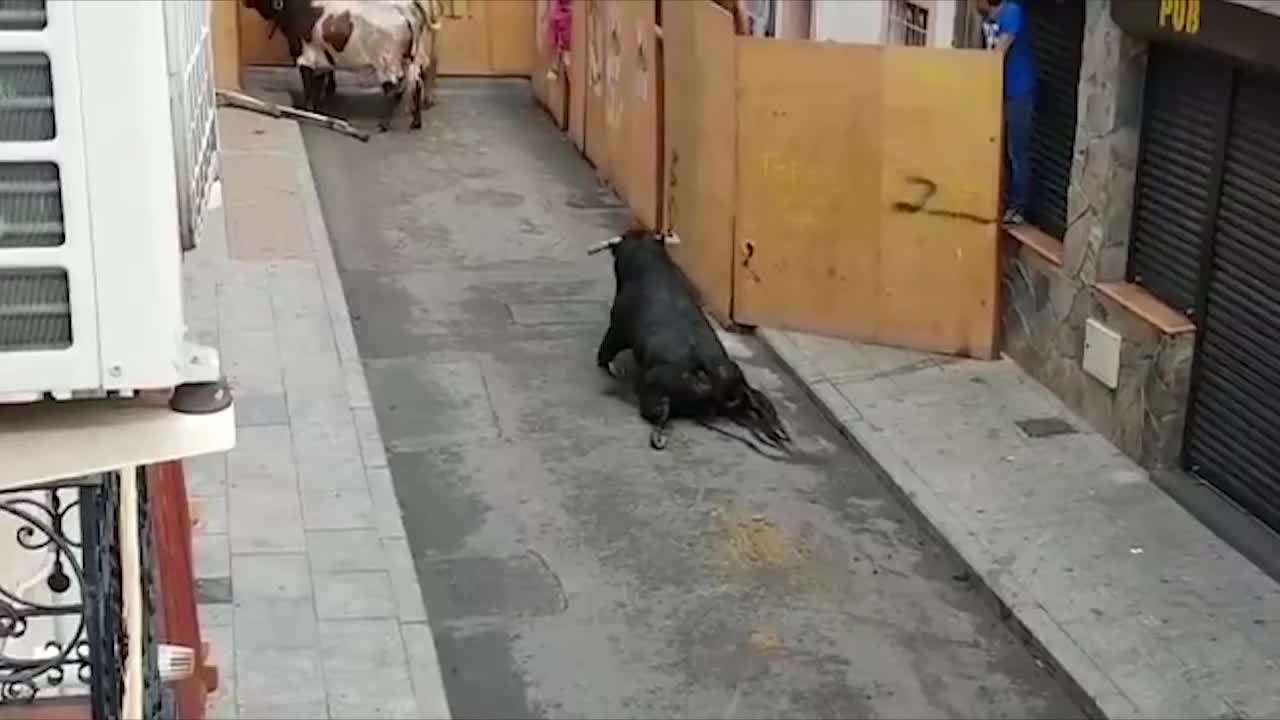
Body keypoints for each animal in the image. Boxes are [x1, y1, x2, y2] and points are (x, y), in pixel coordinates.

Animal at [243, 0, 445, 131]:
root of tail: (405, 10)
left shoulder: (305, 59)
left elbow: (309, 88)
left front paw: (307, 112)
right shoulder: (322, 61)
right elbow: (317, 86)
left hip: (387, 62)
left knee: (393, 89)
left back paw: (384, 124)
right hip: (410, 59)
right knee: (416, 84)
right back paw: (416, 122)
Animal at [588, 229, 788, 450]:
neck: (647, 264)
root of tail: (704, 370)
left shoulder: (616, 329)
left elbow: (606, 350)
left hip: (654, 391)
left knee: (659, 414)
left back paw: (659, 436)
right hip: (740, 382)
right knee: (759, 398)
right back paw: (779, 429)